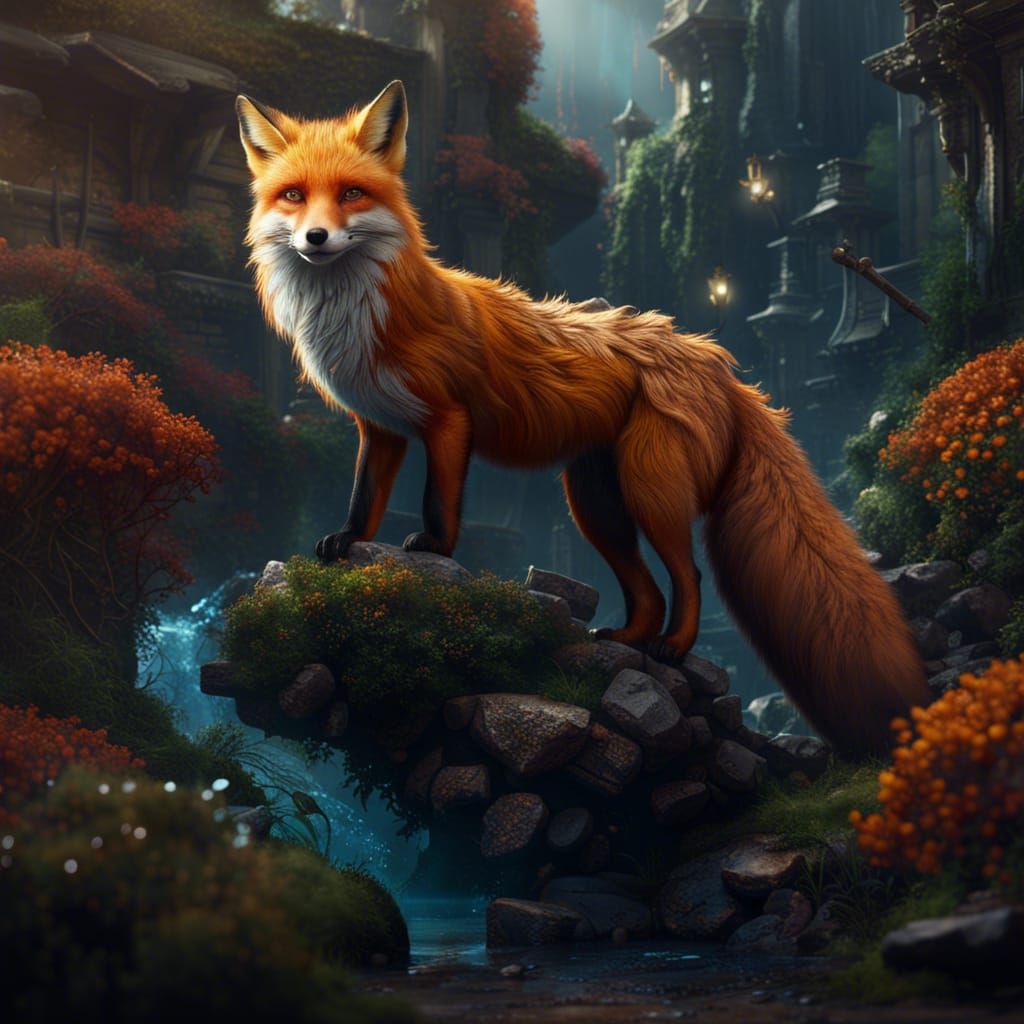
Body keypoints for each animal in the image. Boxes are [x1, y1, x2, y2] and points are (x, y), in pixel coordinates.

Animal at [236, 80, 931, 757]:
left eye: (351, 194)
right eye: (294, 196)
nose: (315, 239)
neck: (360, 315)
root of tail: (714, 359)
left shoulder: (448, 421)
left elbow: (438, 500)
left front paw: (433, 545)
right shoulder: (379, 427)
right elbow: (364, 498)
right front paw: (346, 541)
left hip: (650, 491)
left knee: (688, 574)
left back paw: (675, 646)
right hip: (595, 501)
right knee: (646, 588)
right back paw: (625, 640)